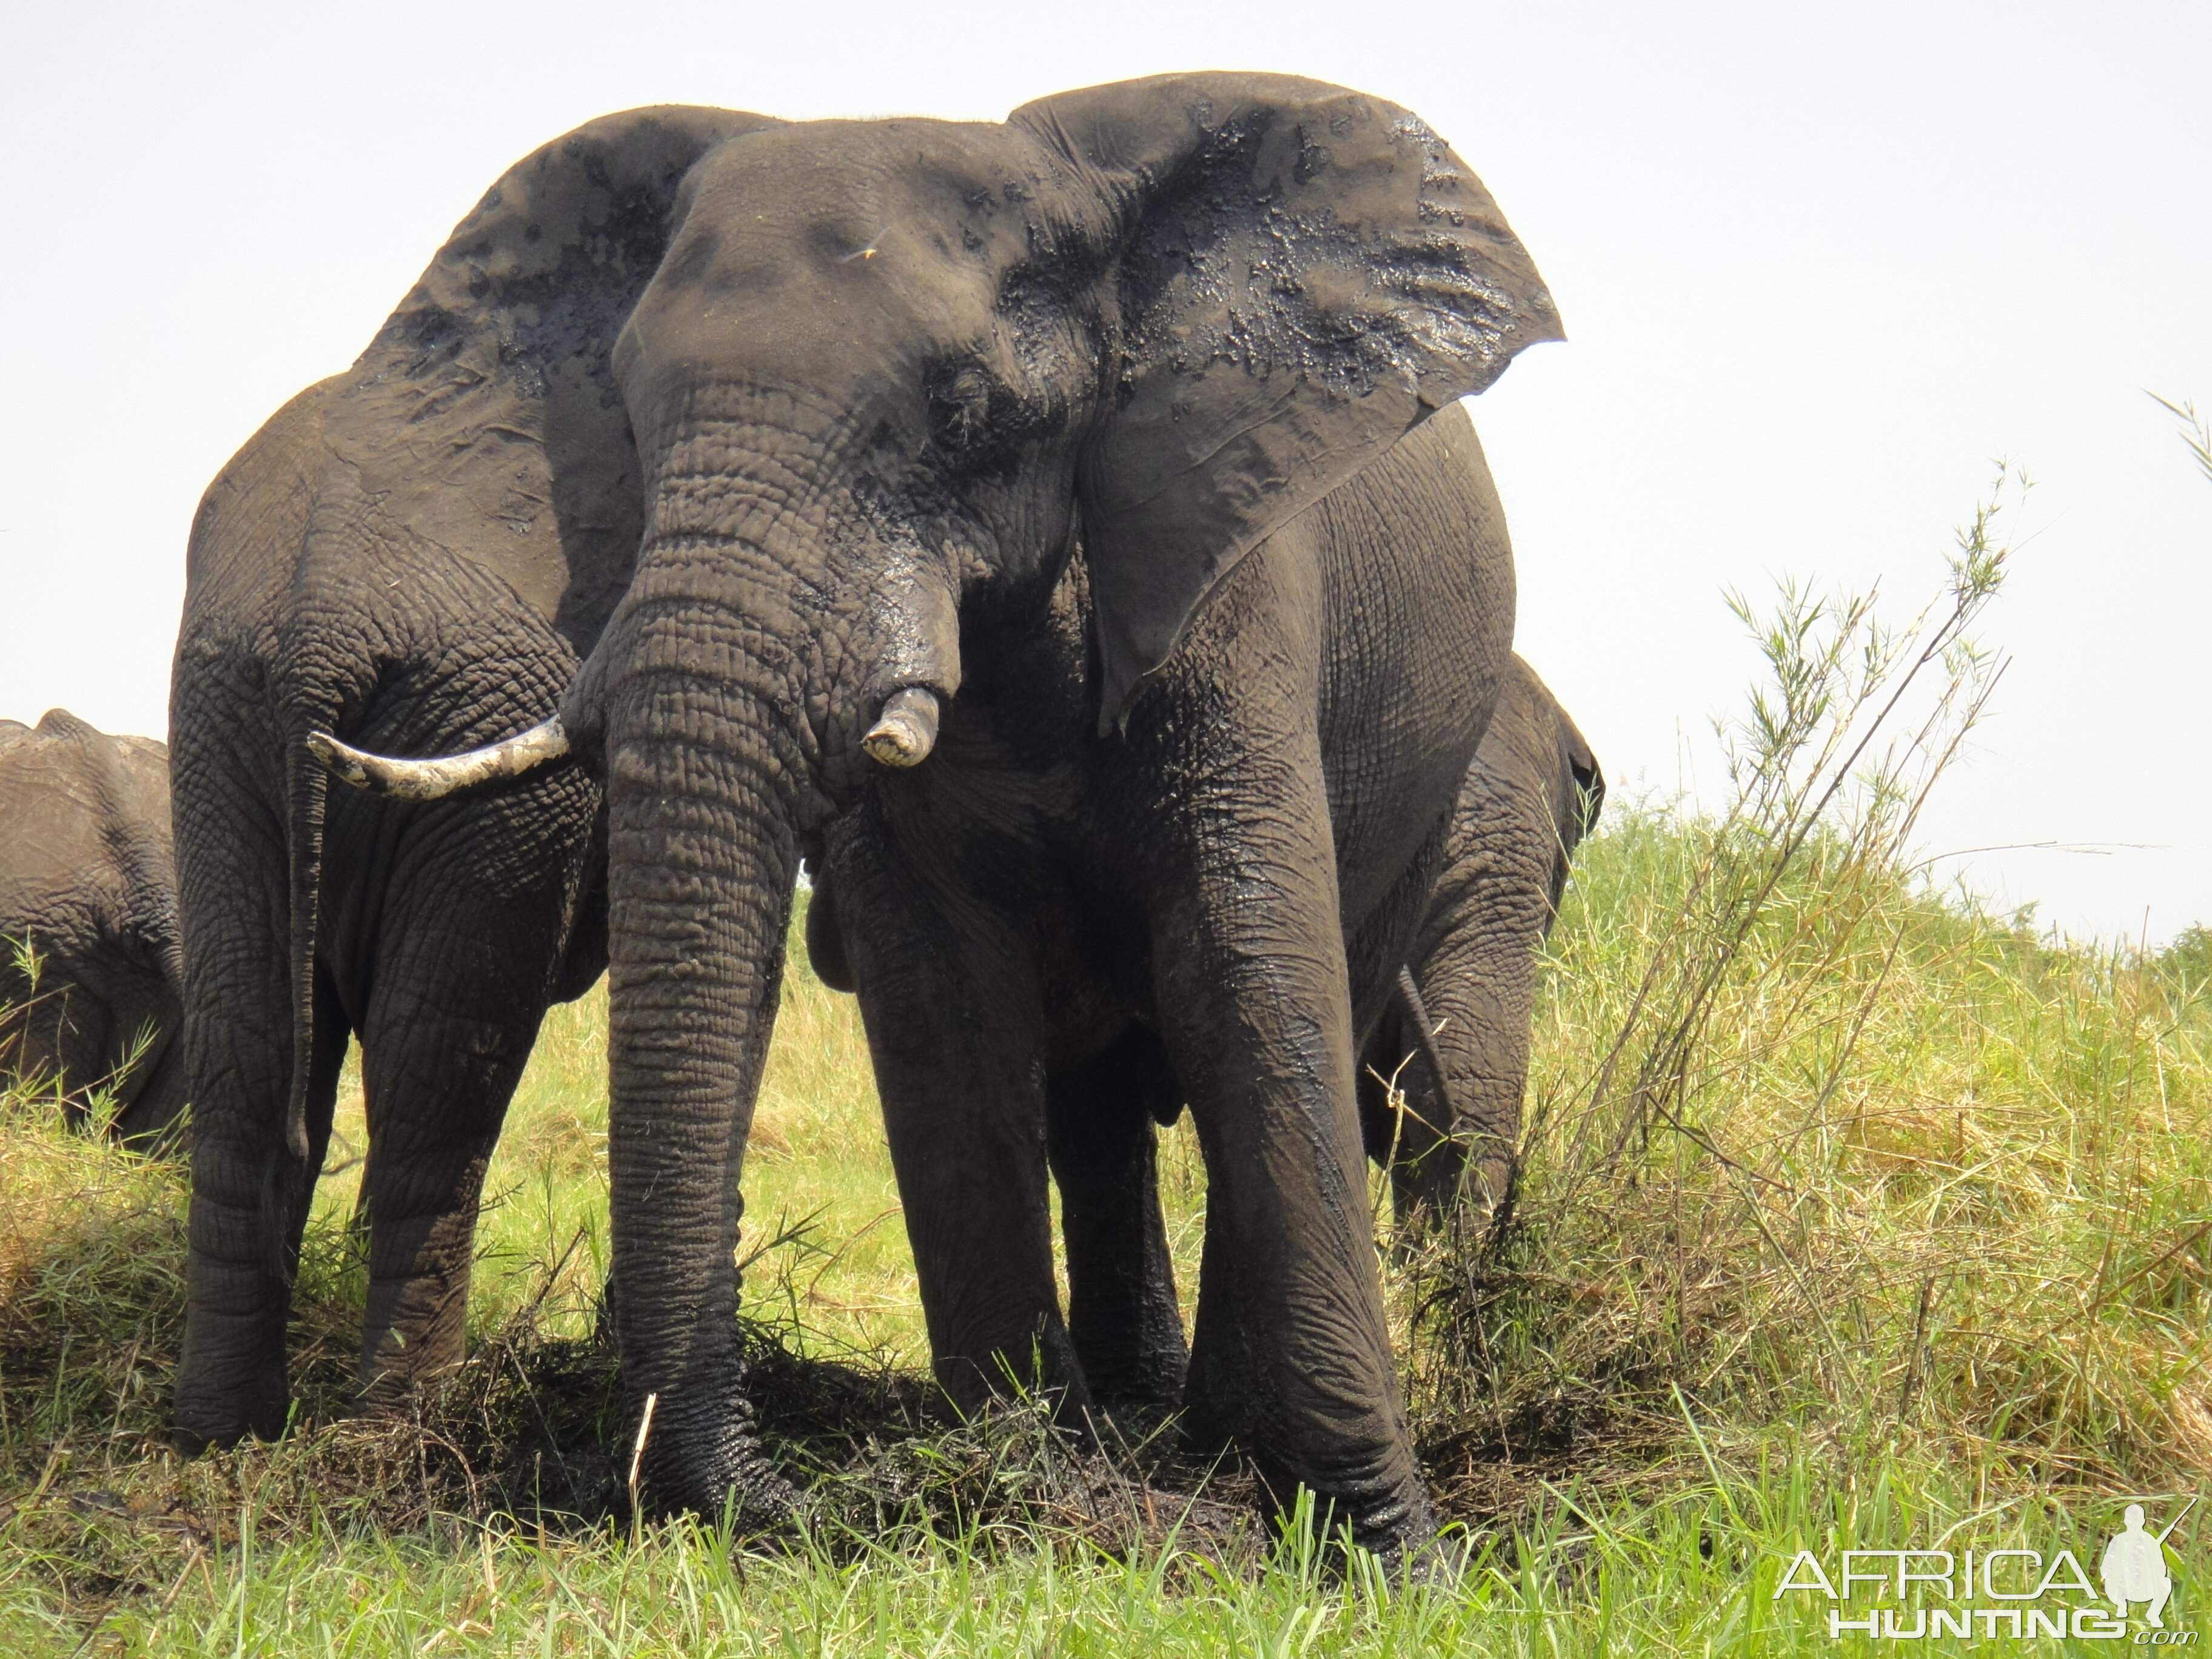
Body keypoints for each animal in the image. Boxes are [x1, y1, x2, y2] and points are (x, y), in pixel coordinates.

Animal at [176, 107, 787, 1451]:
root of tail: (321, 618)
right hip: (470, 745)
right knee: (438, 1068)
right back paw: (404, 1430)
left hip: (222, 719)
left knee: (247, 1045)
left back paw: (222, 1435)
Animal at [312, 75, 1566, 1557]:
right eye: (625, 410)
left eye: (967, 410)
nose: (764, 1495)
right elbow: (942, 1002)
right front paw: (1048, 1484)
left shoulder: (1231, 573)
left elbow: (1245, 975)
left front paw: (1389, 1548)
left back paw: (1207, 1437)